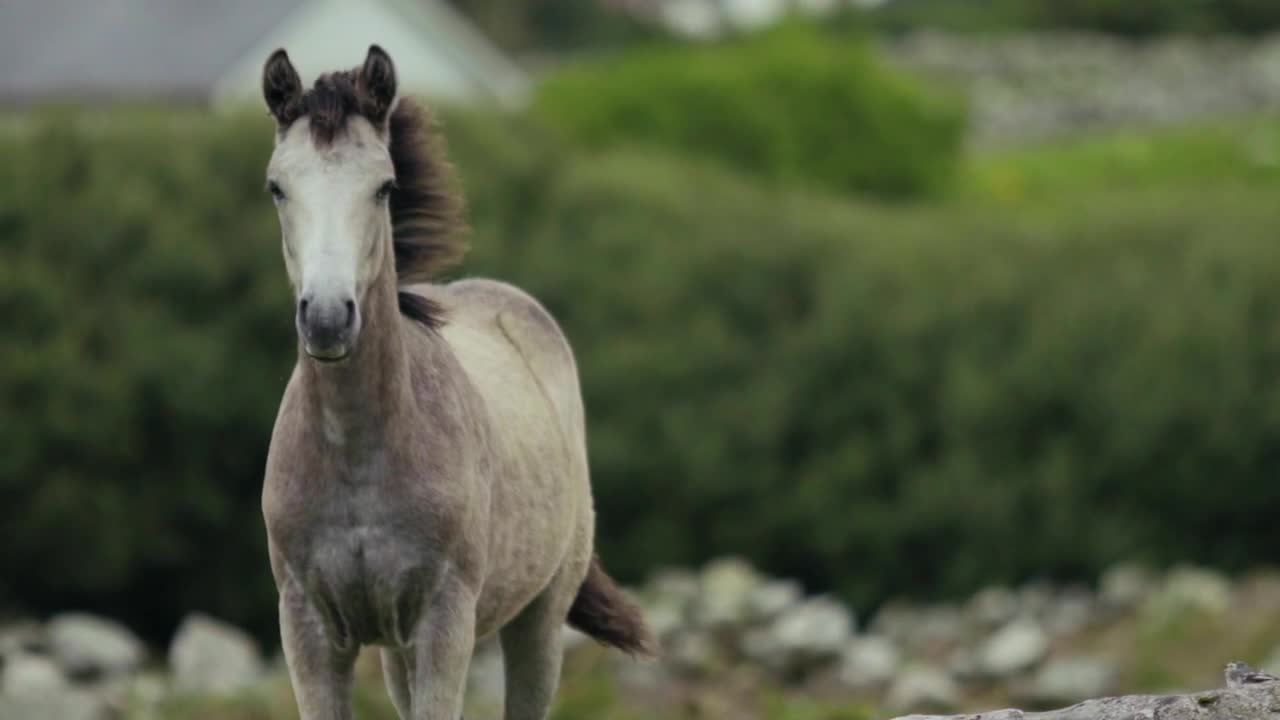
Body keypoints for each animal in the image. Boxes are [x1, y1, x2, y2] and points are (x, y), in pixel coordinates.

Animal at [262, 46, 660, 717]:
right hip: (395, 653)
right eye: (277, 186)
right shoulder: (308, 627)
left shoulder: (443, 625)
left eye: (384, 186)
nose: (327, 317)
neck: (358, 455)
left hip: (538, 622)